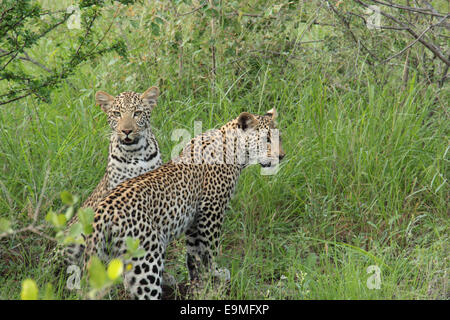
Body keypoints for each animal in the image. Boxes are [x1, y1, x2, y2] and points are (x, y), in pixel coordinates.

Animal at [81, 108, 284, 300]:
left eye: (279, 138)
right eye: (266, 139)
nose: (282, 156)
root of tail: (103, 209)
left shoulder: (194, 220)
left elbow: (194, 253)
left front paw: (197, 279)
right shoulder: (211, 211)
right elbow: (210, 249)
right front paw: (216, 272)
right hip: (146, 259)